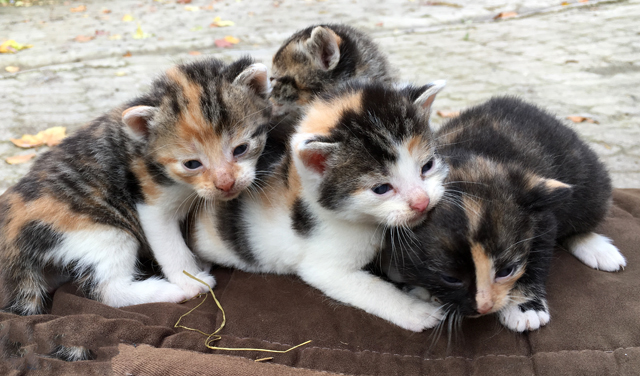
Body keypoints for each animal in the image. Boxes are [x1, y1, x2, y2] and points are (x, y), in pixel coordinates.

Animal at [0, 56, 272, 314]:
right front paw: (191, 279)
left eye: (241, 149)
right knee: (107, 291)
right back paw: (170, 291)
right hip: (99, 232)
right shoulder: (151, 201)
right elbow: (170, 247)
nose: (225, 183)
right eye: (192, 164)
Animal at [190, 80, 450, 332]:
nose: (422, 202)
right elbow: (373, 289)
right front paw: (417, 311)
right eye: (381, 189)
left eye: (427, 166)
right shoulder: (324, 265)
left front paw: (420, 288)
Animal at [380, 96, 624, 332]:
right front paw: (421, 288)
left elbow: (537, 256)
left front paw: (524, 306)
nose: (484, 307)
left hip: (590, 183)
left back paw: (596, 247)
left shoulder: (542, 218)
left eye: (507, 270)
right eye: (450, 278)